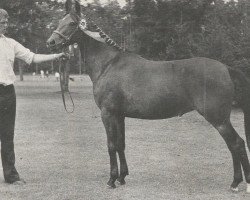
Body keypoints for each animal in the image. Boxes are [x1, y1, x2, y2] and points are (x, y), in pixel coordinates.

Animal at [46, 0, 250, 194]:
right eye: (60, 21)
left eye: (72, 23)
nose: (51, 42)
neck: (108, 65)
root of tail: (226, 68)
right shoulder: (119, 115)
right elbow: (120, 144)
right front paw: (122, 178)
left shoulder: (108, 114)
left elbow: (111, 145)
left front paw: (111, 180)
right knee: (234, 145)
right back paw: (236, 182)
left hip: (218, 119)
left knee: (237, 144)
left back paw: (239, 183)